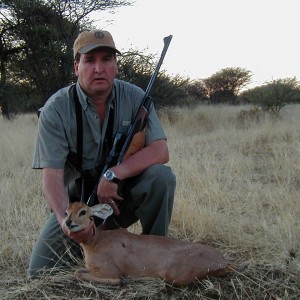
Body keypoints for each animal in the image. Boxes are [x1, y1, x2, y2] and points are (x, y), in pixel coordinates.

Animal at [64, 202, 233, 286]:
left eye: (83, 211)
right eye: (66, 211)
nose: (68, 222)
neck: (95, 242)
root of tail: (224, 261)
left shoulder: (110, 271)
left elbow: (79, 273)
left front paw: (123, 281)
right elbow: (78, 271)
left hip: (174, 274)